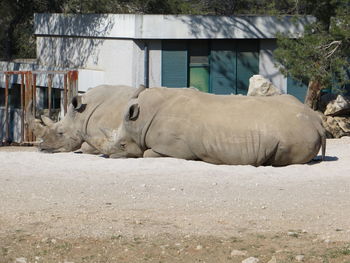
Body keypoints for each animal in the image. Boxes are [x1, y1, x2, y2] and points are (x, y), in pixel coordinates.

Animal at [101, 85, 326, 166]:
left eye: (122, 145)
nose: (107, 156)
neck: (142, 120)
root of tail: (318, 122)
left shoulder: (173, 149)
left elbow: (147, 153)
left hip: (296, 132)